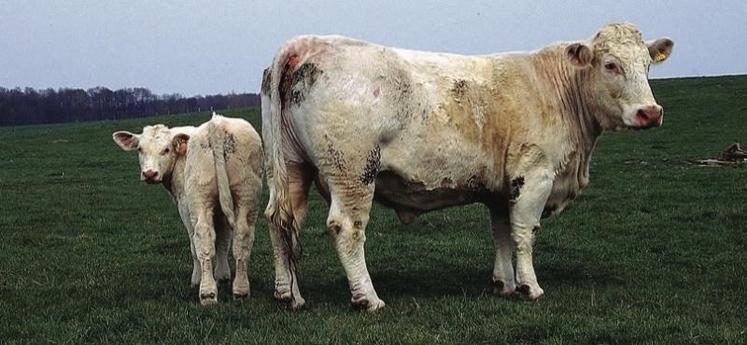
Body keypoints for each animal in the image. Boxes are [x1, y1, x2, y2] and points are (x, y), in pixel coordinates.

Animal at [111, 113, 262, 304]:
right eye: (140, 149)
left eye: (166, 149)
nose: (149, 173)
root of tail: (217, 124)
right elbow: (223, 241)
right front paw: (223, 276)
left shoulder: (184, 205)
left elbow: (195, 246)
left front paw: (198, 279)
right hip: (246, 195)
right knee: (243, 235)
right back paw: (241, 290)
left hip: (199, 199)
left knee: (203, 236)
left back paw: (207, 292)